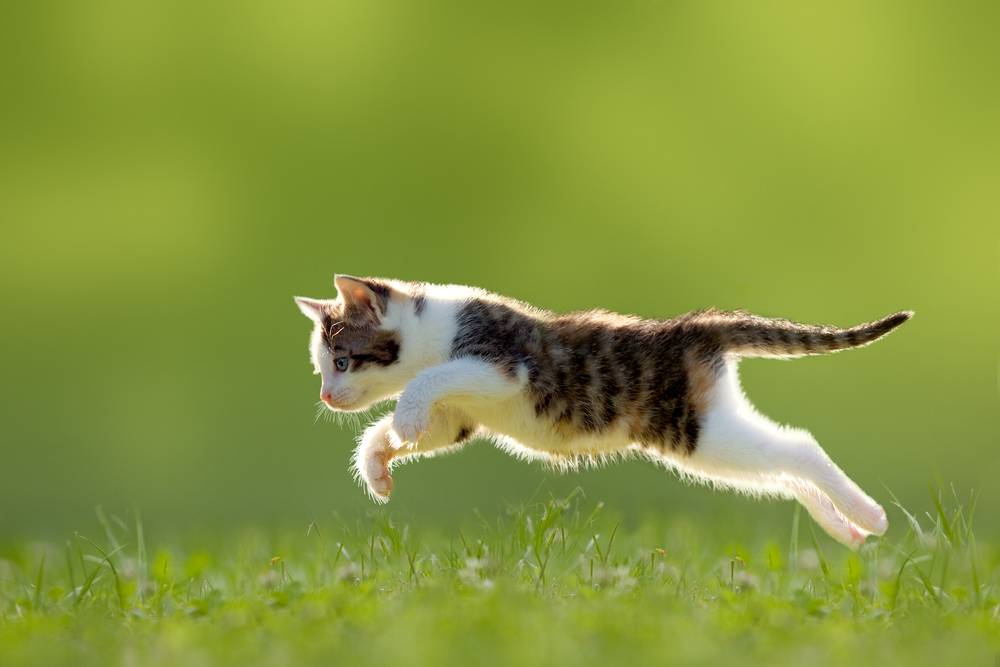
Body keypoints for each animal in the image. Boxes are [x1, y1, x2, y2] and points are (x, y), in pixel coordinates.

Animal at [292, 276, 912, 548]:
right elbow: (423, 426)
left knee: (798, 448)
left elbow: (427, 381)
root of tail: (691, 328)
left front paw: (403, 418)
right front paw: (378, 464)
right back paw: (847, 529)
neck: (433, 329)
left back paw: (871, 516)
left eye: (342, 362)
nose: (325, 396)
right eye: (322, 368)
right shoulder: (460, 418)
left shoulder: (502, 365)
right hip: (711, 438)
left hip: (699, 431)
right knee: (781, 471)